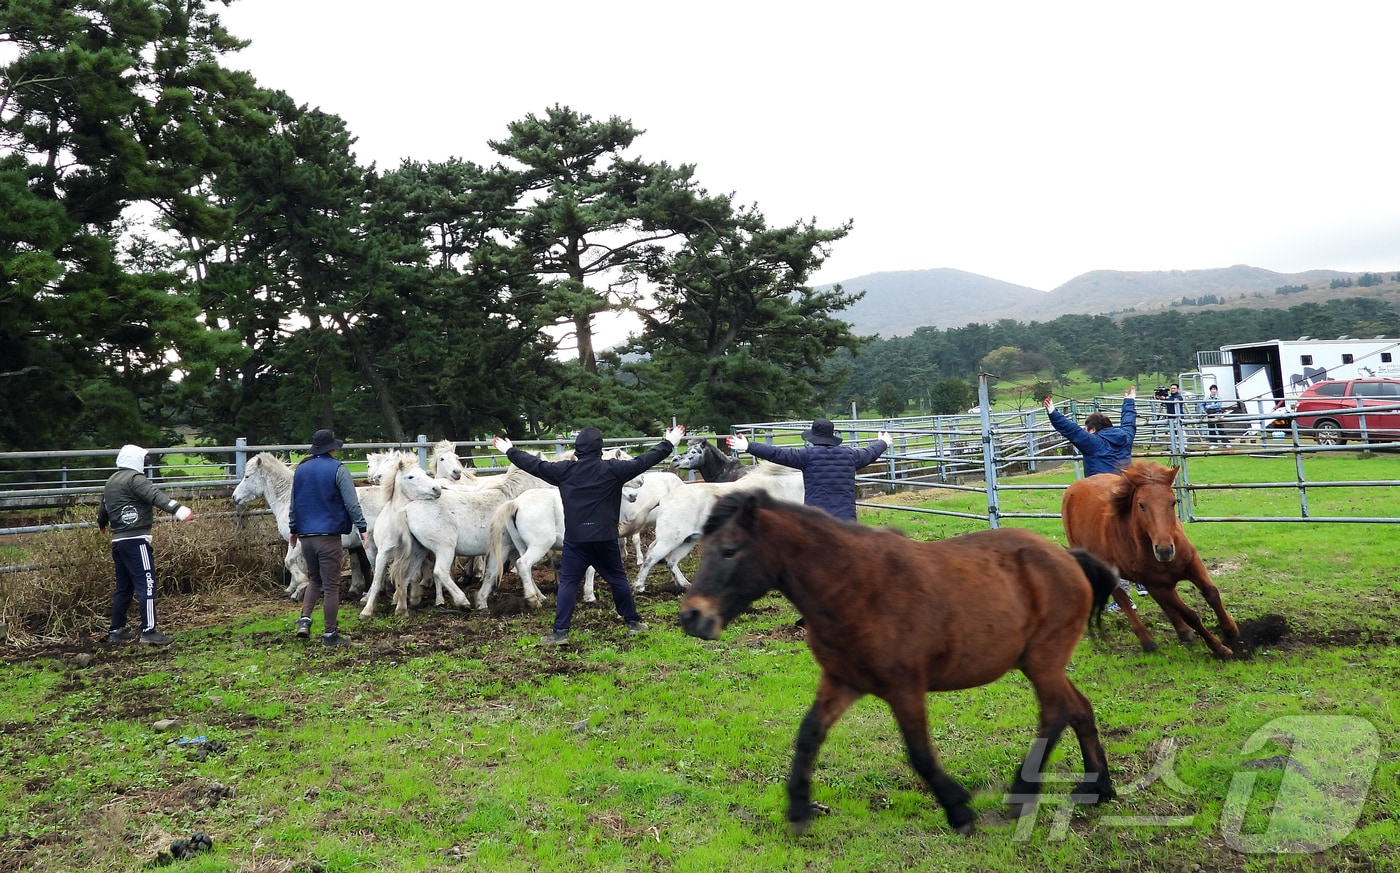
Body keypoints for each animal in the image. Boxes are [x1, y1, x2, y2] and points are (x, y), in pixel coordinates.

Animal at [632, 464, 800, 593]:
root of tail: (663, 498)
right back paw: (639, 587)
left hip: (687, 541)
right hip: (670, 540)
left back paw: (684, 584)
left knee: (671, 561)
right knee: (651, 558)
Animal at [677, 495, 1114, 833]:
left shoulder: (904, 688)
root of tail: (1067, 557)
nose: (692, 617)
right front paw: (799, 808)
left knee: (1055, 713)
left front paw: (959, 810)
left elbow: (919, 752)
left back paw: (1023, 794)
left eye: (730, 549)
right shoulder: (841, 681)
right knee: (1079, 708)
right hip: (1039, 663)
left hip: (1043, 662)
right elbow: (808, 735)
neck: (854, 588)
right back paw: (1098, 788)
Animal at [1058, 464, 1237, 654]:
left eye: (1173, 502)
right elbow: (1190, 615)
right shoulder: (1157, 584)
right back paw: (1147, 640)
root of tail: (1075, 487)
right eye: (1141, 505)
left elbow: (1211, 593)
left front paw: (1230, 630)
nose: (1164, 550)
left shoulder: (1191, 564)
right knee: (1123, 599)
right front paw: (1219, 648)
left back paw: (1183, 632)